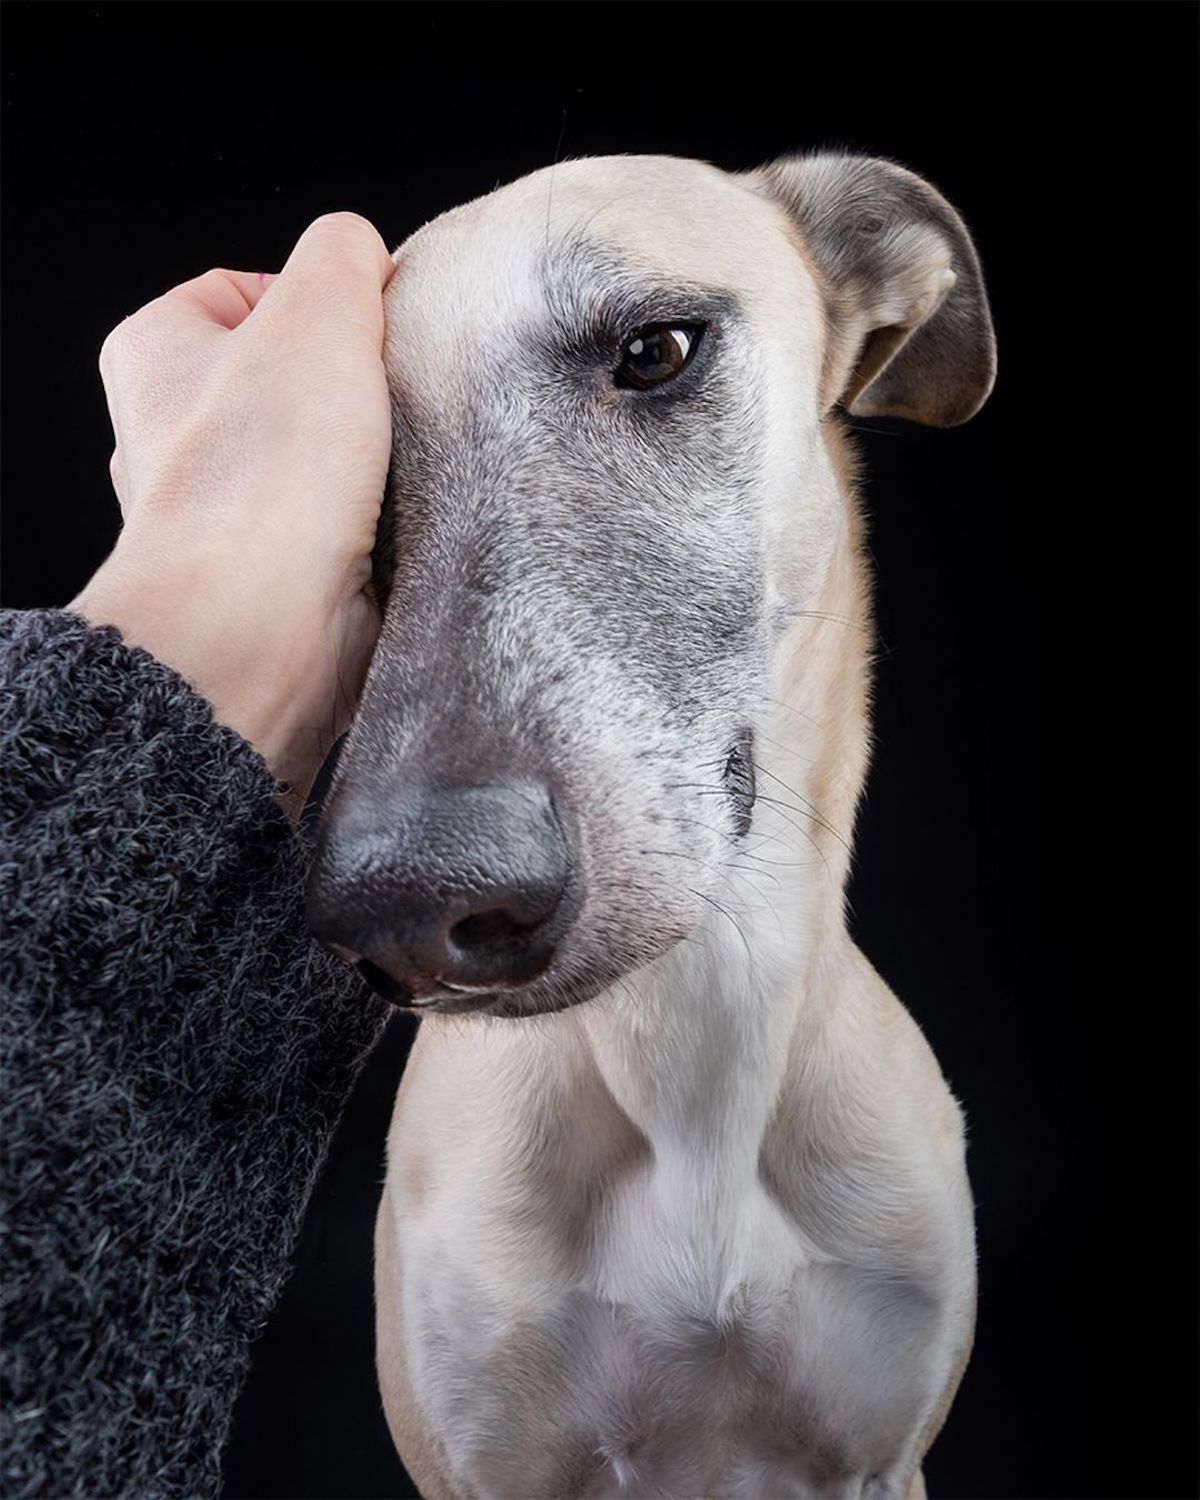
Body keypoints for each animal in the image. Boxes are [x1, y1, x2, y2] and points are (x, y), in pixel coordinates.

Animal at [307, 149, 996, 1500]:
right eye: (358, 466)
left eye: (656, 349)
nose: (413, 907)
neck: (694, 1055)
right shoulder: (489, 1462)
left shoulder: (882, 1455)